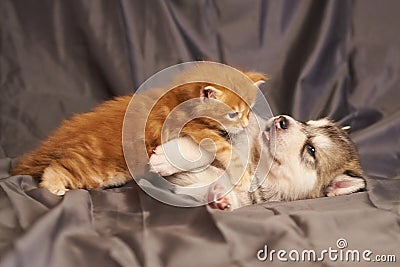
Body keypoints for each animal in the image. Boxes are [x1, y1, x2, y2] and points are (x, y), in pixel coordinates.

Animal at [149, 114, 366, 210]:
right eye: (307, 123)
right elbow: (208, 149)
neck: (256, 167)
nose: (281, 120)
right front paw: (166, 159)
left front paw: (221, 199)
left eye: (311, 149)